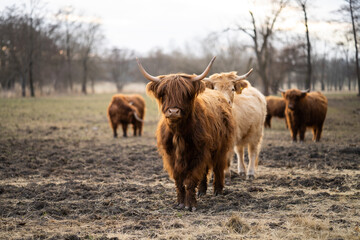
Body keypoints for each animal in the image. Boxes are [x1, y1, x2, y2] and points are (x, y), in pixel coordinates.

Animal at [136, 57, 235, 211]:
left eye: (186, 94)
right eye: (164, 94)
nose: (173, 111)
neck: (179, 133)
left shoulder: (198, 153)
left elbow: (190, 179)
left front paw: (190, 205)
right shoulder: (171, 156)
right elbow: (179, 180)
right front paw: (180, 202)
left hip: (221, 146)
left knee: (218, 166)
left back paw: (218, 191)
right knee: (205, 170)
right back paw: (202, 191)